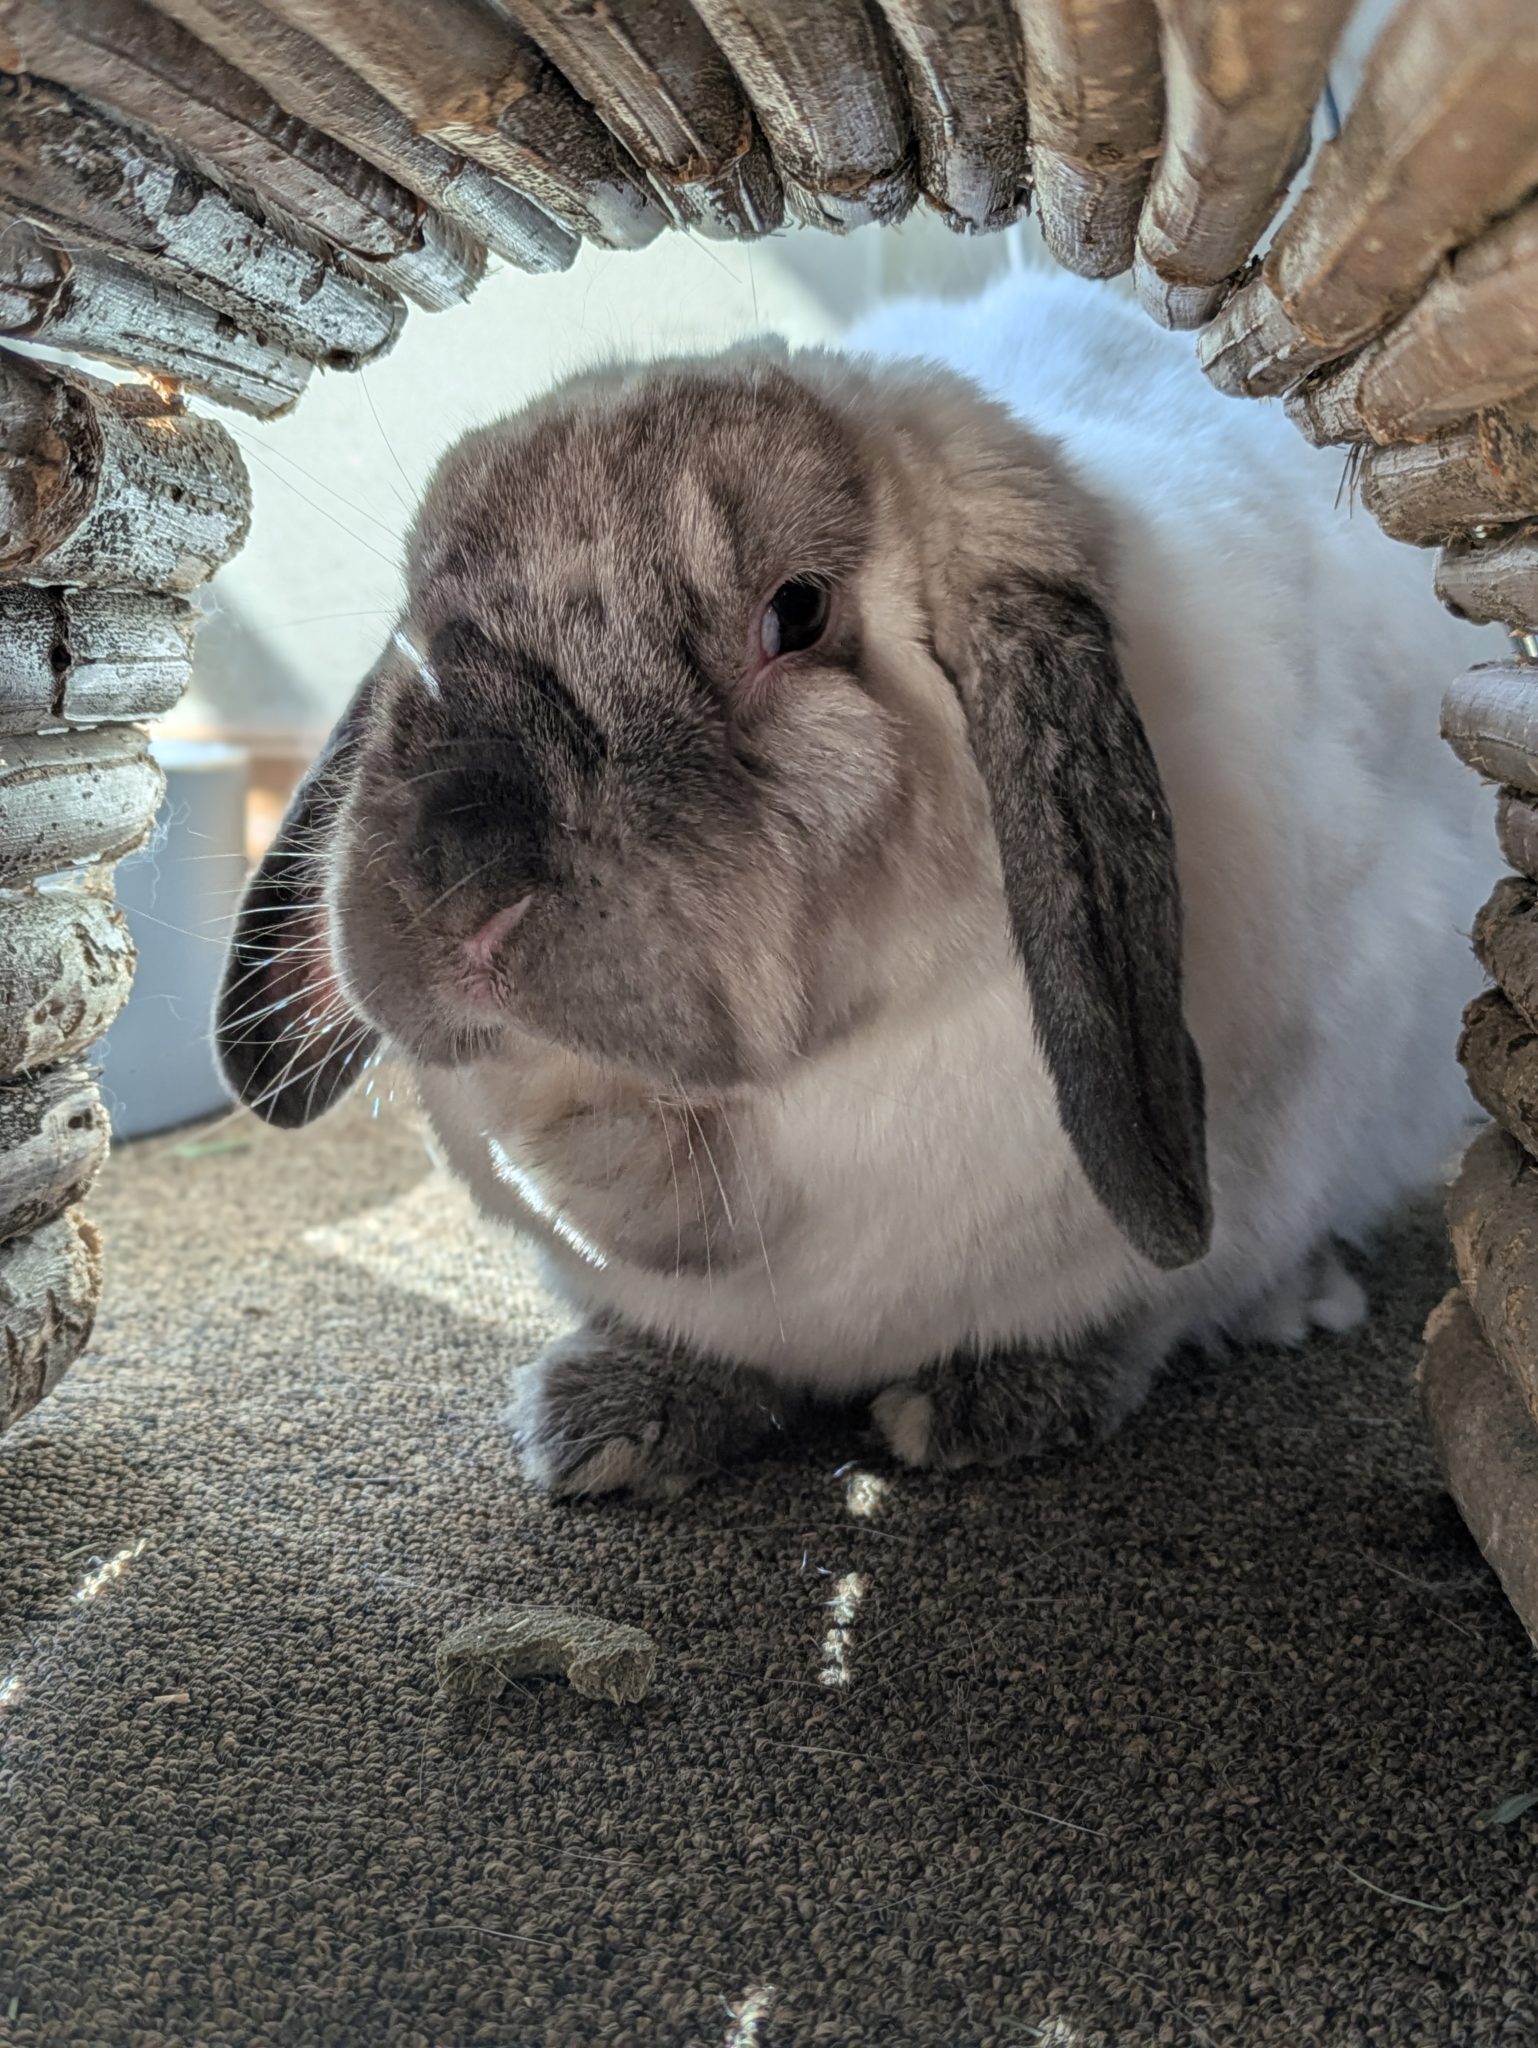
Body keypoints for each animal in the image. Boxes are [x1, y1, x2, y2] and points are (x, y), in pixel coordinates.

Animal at [216, 268, 1500, 1499]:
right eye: (421, 628)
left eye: (796, 611)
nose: (455, 883)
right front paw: (613, 1418)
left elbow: (1154, 1299)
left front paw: (993, 1405)